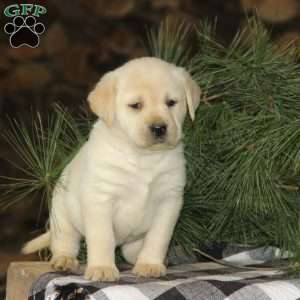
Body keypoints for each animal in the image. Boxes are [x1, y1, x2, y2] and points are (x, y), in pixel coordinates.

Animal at [21, 56, 199, 282]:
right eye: (135, 105)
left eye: (171, 103)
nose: (159, 128)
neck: (143, 158)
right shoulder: (100, 200)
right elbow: (102, 237)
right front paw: (102, 268)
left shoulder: (169, 202)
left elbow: (158, 238)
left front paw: (150, 264)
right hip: (62, 216)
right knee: (65, 242)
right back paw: (64, 261)